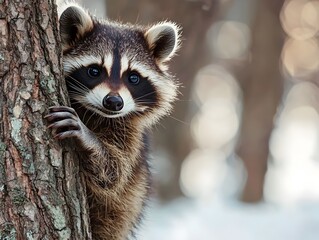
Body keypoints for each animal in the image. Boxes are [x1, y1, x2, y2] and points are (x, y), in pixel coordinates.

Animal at [45, 2, 180, 240]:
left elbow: (115, 172)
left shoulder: (131, 136)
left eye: (133, 77)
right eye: (94, 71)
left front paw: (88, 139)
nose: (114, 102)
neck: (96, 114)